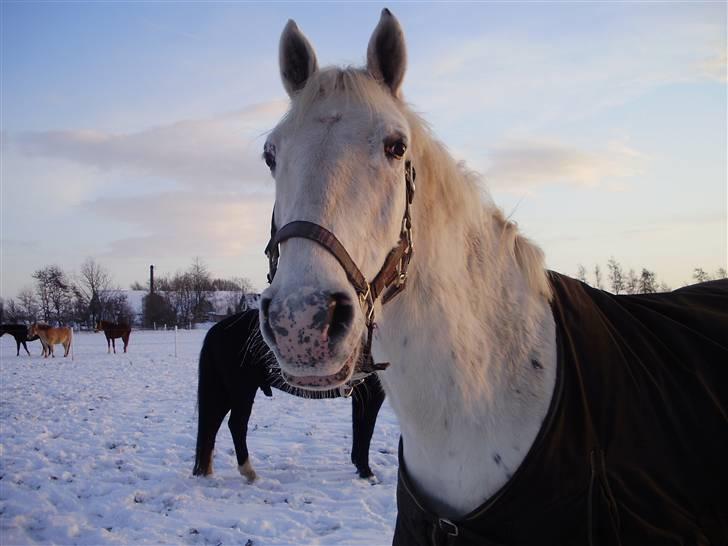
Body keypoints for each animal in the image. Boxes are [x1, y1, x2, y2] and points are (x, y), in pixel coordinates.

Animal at [193, 308, 386, 478]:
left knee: (211, 425)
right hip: (242, 391)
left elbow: (360, 431)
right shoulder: (373, 395)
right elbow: (365, 432)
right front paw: (367, 473)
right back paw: (249, 473)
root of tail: (218, 329)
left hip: (225, 392)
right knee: (236, 425)